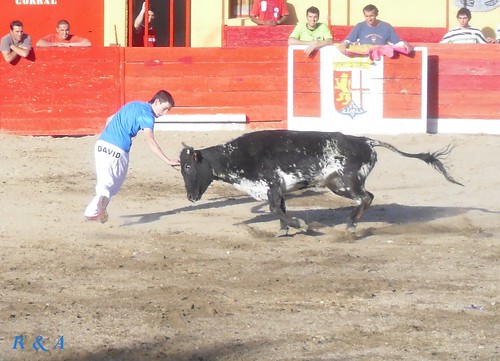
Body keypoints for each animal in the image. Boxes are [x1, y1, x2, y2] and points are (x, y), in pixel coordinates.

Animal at [179, 131, 460, 235]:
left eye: (188, 167)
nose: (191, 197)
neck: (237, 155)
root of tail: (366, 140)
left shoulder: (271, 185)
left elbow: (275, 209)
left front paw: (301, 225)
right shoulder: (277, 190)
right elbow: (279, 209)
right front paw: (284, 230)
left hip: (348, 182)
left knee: (365, 198)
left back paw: (351, 226)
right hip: (339, 185)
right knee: (368, 197)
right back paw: (351, 225)